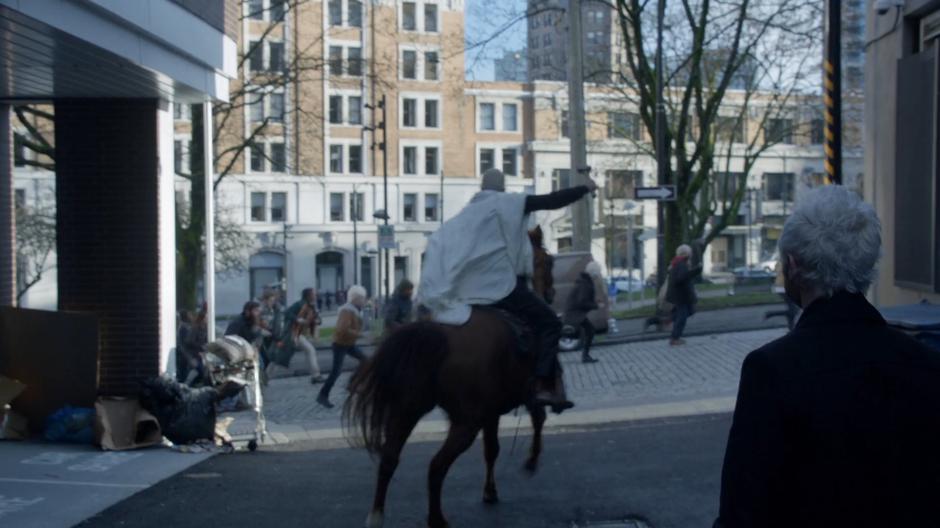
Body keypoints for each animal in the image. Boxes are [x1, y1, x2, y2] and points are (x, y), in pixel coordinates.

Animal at [346, 227, 560, 528]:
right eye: (549, 261)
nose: (551, 292)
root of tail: (435, 334)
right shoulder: (525, 396)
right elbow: (538, 419)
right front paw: (530, 461)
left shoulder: (491, 413)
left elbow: (491, 449)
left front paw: (490, 491)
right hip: (464, 422)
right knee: (436, 466)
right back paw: (437, 518)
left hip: (407, 410)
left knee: (389, 458)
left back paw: (377, 515)